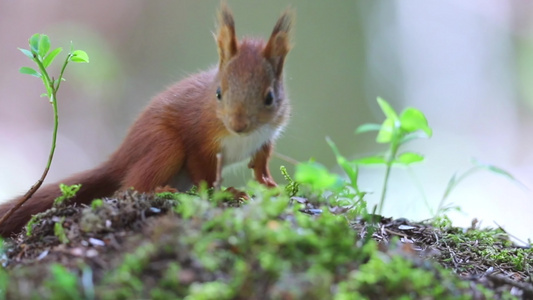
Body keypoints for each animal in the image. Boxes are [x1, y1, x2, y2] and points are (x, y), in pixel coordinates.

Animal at [0, 5, 294, 237]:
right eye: (219, 93)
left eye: (269, 97)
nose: (238, 125)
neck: (243, 136)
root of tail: (121, 156)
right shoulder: (200, 138)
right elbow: (205, 174)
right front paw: (225, 194)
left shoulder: (267, 134)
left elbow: (261, 163)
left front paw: (269, 185)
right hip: (164, 144)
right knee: (129, 187)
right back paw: (161, 191)